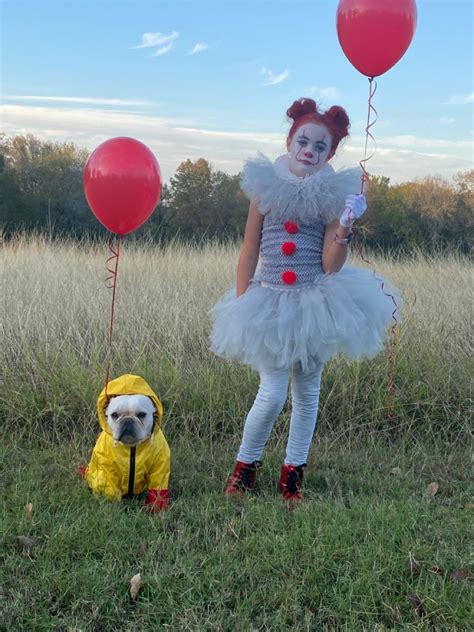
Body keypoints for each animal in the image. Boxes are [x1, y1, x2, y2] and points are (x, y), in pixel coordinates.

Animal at [82, 372, 171, 512]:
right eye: (114, 415)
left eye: (141, 414)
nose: (128, 420)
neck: (131, 447)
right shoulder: (106, 471)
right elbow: (110, 490)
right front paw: (112, 508)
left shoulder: (159, 468)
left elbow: (157, 490)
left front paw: (157, 509)